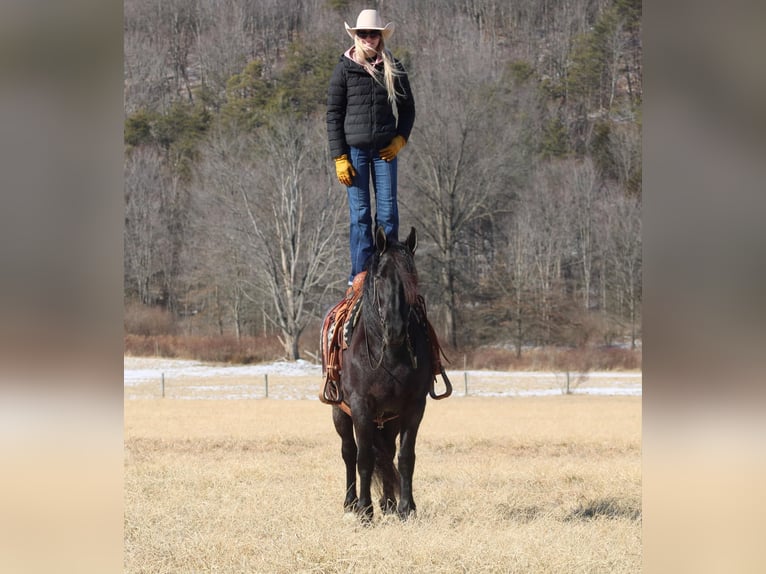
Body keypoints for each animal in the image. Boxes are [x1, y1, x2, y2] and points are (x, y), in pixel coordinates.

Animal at [330, 227, 450, 524]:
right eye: (381, 277)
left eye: (412, 276)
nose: (395, 329)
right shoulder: (360, 406)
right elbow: (363, 458)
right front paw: (365, 510)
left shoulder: (412, 407)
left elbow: (405, 457)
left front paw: (407, 507)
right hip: (340, 412)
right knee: (349, 452)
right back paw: (352, 503)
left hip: (388, 419)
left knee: (386, 453)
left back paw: (389, 503)